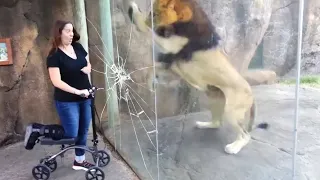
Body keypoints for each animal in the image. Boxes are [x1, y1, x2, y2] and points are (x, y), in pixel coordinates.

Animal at [126, 0, 268, 155]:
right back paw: (204, 124)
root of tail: (251, 93)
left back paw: (233, 147)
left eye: (154, 13)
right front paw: (151, 83)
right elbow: (152, 66)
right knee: (217, 122)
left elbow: (150, 32)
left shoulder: (173, 47)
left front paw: (133, 10)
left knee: (245, 135)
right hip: (214, 99)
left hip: (232, 111)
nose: (149, 18)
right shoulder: (173, 63)